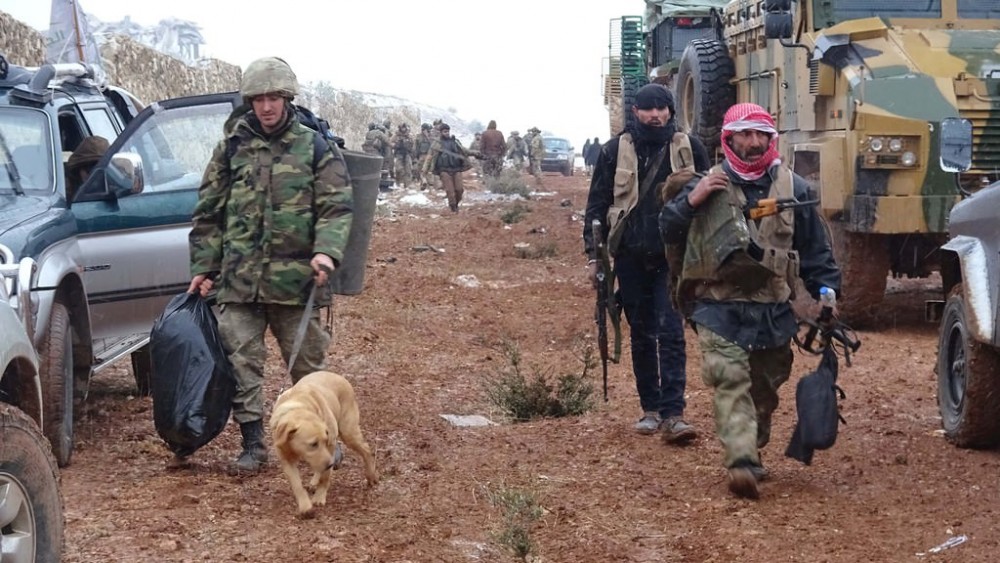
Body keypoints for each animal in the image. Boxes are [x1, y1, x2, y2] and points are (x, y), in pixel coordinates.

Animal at [270, 372, 378, 516]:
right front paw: (305, 506)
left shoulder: (330, 445)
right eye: (313, 444)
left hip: (348, 432)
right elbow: (297, 485)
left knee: (366, 449)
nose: (331, 464)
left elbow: (325, 477)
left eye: (325, 441)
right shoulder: (286, 460)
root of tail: (336, 374)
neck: (299, 406)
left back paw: (371, 476)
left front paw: (319, 496)